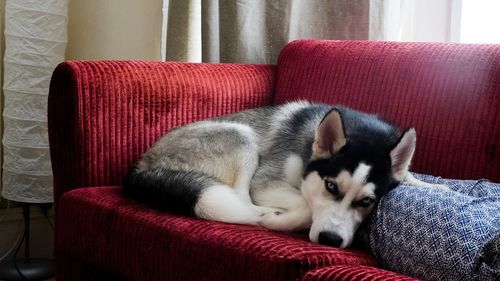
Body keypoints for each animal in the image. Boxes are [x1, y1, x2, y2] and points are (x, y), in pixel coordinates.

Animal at [122, 101, 446, 246]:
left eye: (367, 202)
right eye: (330, 186)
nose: (330, 240)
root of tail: (140, 167)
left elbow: (410, 175)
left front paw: (437, 188)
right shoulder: (264, 181)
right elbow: (304, 203)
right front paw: (285, 220)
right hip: (241, 137)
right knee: (241, 202)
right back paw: (266, 216)